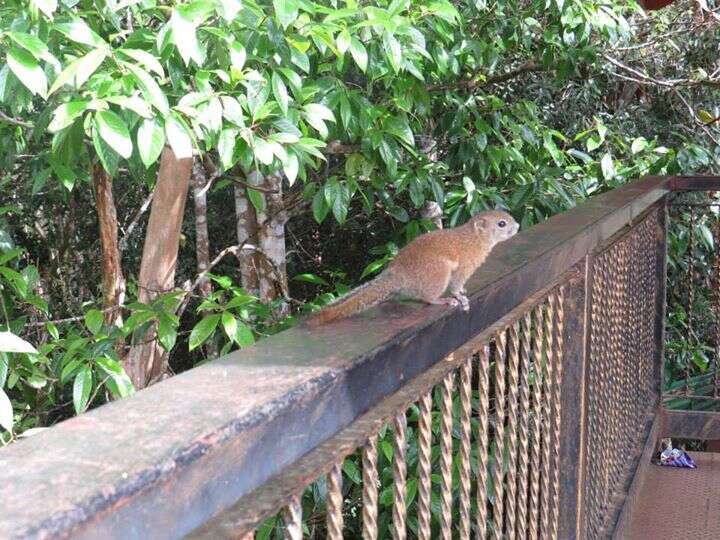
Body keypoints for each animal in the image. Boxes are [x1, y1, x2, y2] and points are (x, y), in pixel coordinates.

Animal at [304, 211, 516, 324]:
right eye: (502, 224)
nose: (517, 226)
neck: (474, 239)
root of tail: (396, 275)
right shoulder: (464, 266)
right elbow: (456, 285)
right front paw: (460, 297)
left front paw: (463, 291)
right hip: (439, 273)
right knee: (427, 297)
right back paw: (442, 300)